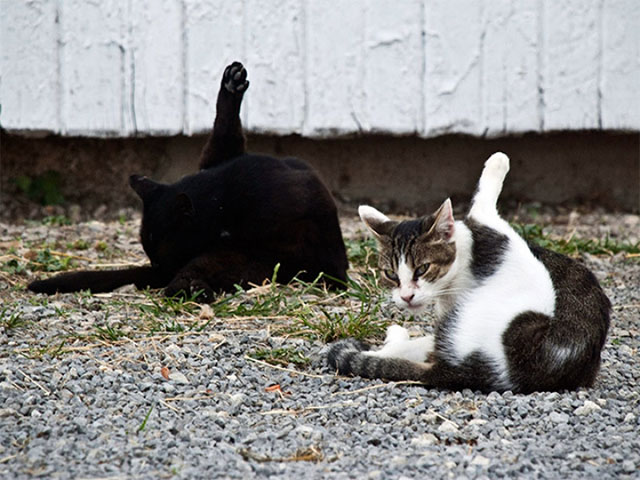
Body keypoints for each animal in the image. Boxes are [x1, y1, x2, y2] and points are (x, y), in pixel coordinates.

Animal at [28, 61, 350, 300]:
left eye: (160, 249)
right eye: (148, 250)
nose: (158, 267)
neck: (225, 200)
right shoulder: (221, 162)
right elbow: (224, 131)